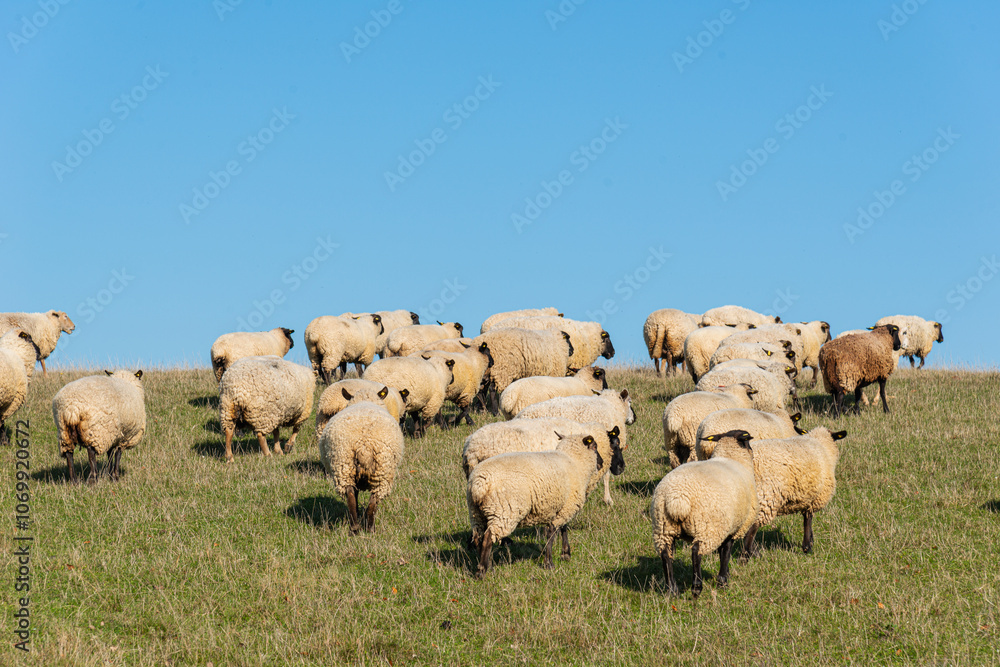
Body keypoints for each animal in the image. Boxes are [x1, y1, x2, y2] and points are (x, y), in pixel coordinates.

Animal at [318, 401, 405, 534]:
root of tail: (364, 446)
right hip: (381, 472)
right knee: (372, 501)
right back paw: (369, 529)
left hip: (345, 468)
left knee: (351, 495)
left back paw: (356, 528)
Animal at [467, 432, 602, 576]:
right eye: (595, 447)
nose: (601, 463)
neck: (574, 462)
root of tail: (479, 484)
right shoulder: (566, 507)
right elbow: (552, 534)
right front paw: (549, 563)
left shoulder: (562, 506)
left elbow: (563, 529)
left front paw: (565, 554)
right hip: (503, 511)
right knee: (488, 538)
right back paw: (482, 572)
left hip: (476, 513)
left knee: (479, 539)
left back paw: (488, 566)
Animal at [651, 429, 758, 597]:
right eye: (748, 442)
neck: (731, 457)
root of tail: (677, 499)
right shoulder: (732, 528)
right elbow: (726, 551)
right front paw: (723, 580)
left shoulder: (727, 526)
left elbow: (723, 552)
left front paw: (724, 575)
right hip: (707, 528)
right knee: (696, 552)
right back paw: (696, 587)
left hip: (663, 527)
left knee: (665, 554)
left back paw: (672, 590)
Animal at [737, 427, 846, 556]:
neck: (822, 445)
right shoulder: (814, 499)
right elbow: (808, 520)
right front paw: (807, 547)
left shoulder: (808, 498)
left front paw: (810, 541)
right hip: (766, 494)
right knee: (752, 528)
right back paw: (750, 554)